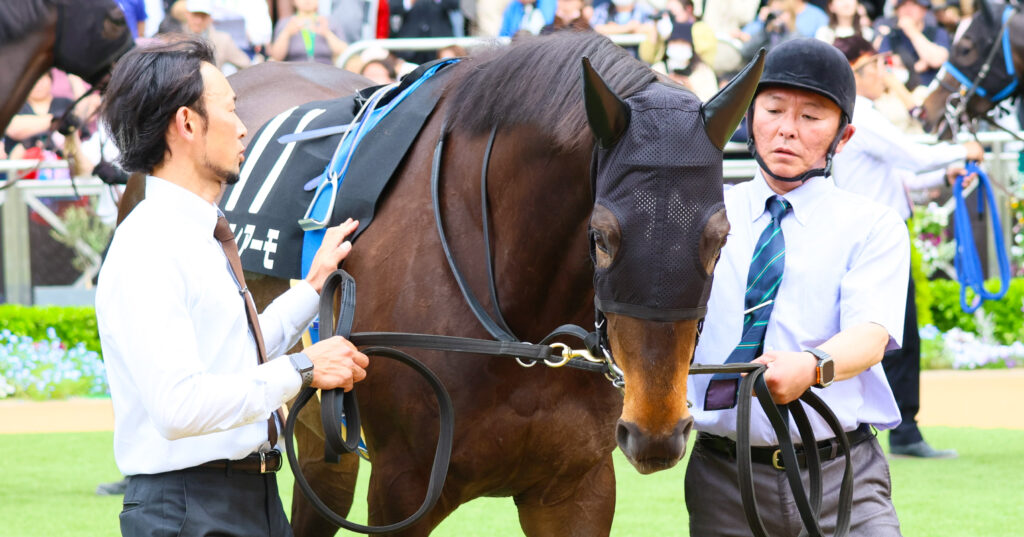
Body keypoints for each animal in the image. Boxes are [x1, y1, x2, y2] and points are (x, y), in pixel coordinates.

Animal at [214, 32, 762, 536]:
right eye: (602, 236)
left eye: (721, 238)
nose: (656, 429)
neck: (522, 329)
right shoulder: (403, 489)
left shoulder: (575, 490)